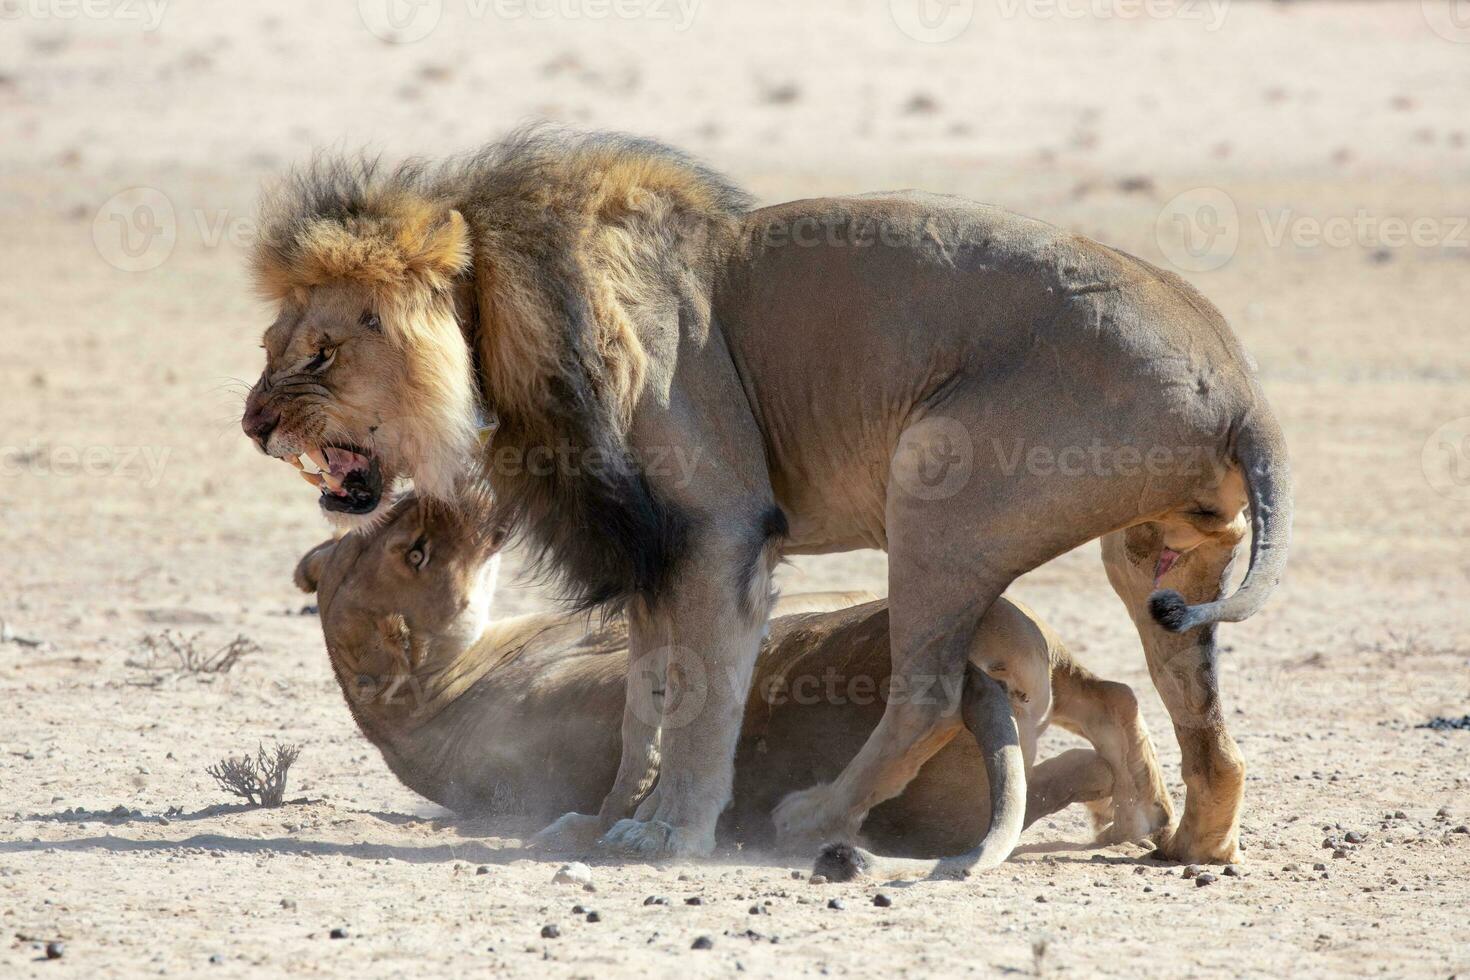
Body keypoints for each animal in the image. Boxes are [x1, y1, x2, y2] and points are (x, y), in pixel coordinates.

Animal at [295, 493, 1170, 875]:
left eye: (393, 531)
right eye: (416, 550)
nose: (445, 487)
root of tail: (975, 683)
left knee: (1110, 702)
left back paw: (1145, 811)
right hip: (958, 626)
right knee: (1076, 742)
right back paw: (1136, 814)